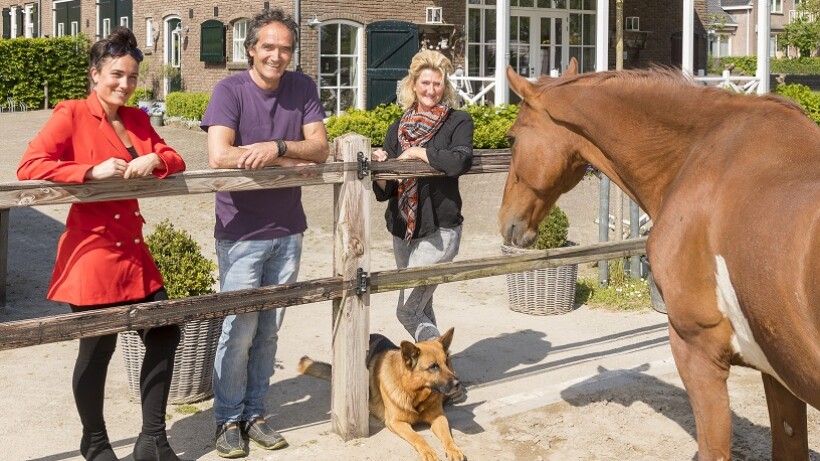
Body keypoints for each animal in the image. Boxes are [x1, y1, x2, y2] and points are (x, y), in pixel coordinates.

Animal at [298, 328, 464, 460]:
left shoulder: (439, 417)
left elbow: (447, 436)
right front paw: (428, 451)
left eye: (446, 362)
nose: (458, 383)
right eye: (433, 367)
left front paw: (454, 450)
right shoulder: (396, 422)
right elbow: (418, 437)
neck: (415, 395)